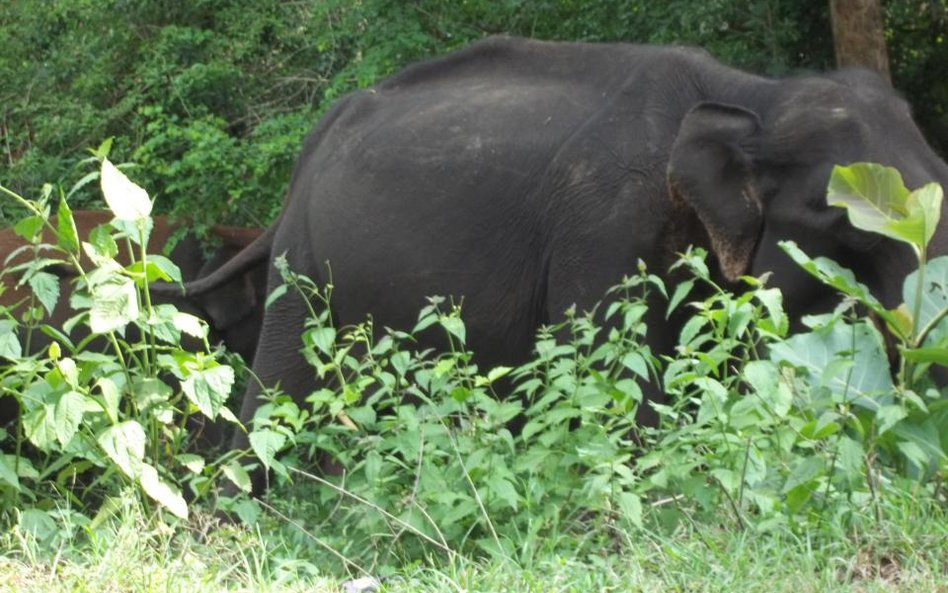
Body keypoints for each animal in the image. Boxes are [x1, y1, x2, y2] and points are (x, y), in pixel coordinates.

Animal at [174, 35, 948, 486]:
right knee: (279, 381)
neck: (751, 94)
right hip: (303, 262)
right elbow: (615, 378)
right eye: (849, 223)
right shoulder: (604, 218)